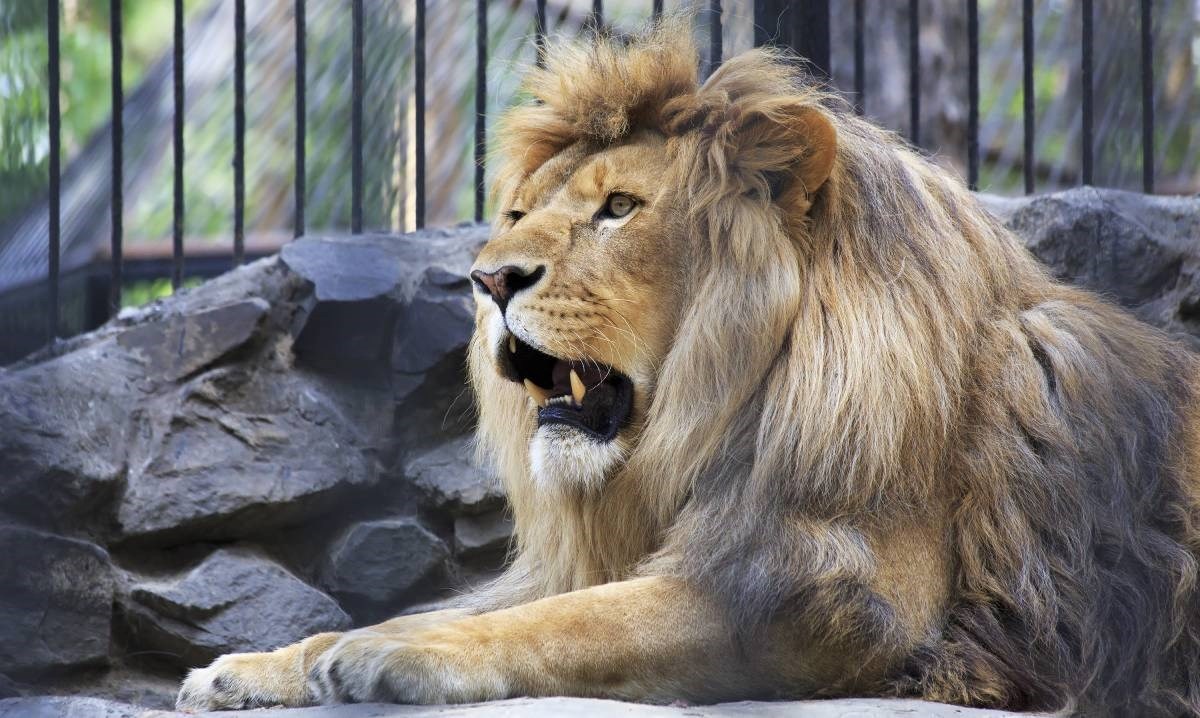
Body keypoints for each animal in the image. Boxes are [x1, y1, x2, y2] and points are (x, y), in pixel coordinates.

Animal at [174, 19, 1200, 715]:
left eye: (620, 208)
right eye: (519, 215)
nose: (488, 279)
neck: (726, 412)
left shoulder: (843, 593)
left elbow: (572, 622)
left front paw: (395, 660)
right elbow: (464, 608)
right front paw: (265, 665)